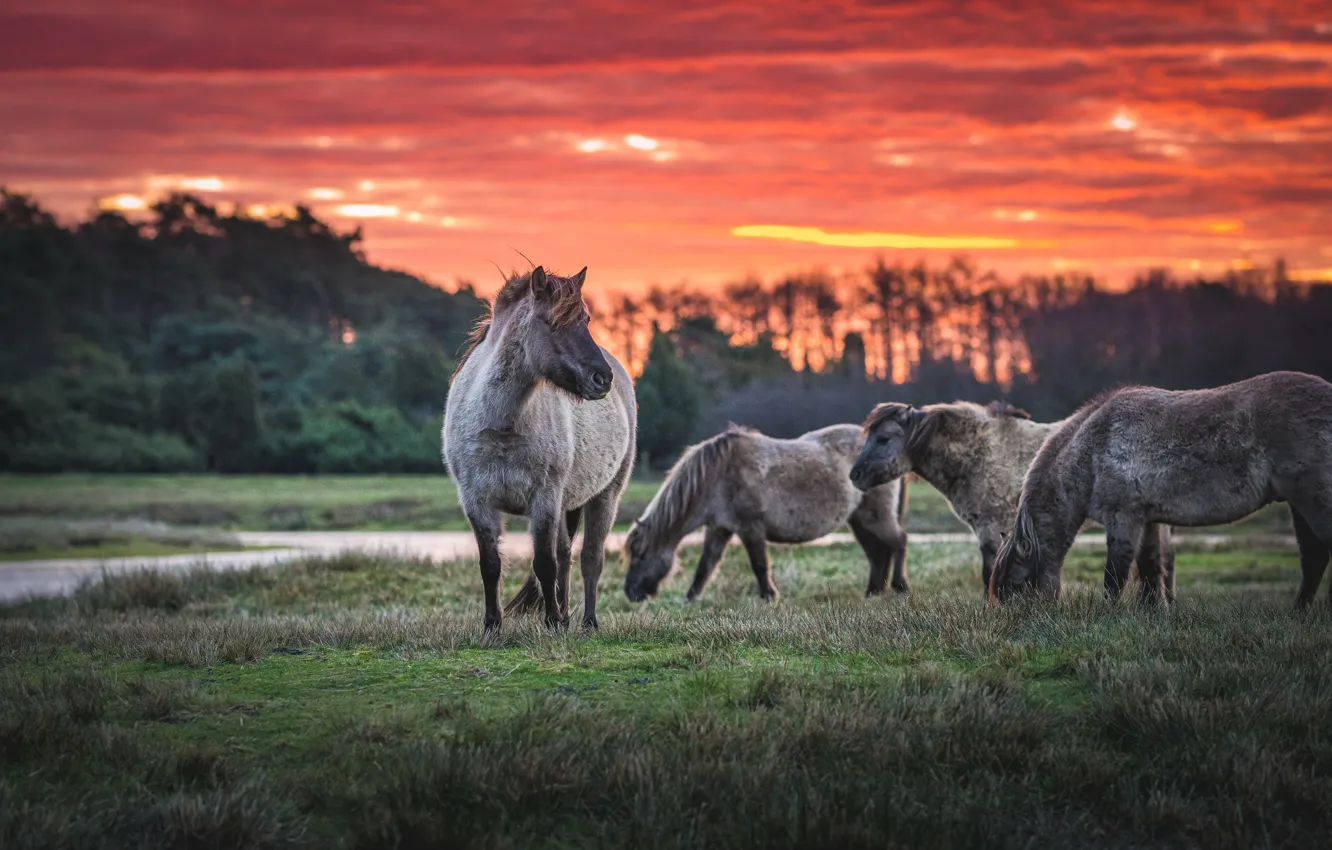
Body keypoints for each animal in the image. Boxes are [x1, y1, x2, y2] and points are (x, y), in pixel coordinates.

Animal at [443, 266, 636, 632]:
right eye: (552, 322)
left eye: (586, 319)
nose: (602, 379)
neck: (502, 425)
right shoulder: (476, 502)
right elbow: (491, 565)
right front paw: (493, 626)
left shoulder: (543, 499)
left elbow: (544, 563)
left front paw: (551, 622)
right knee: (566, 554)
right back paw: (566, 615)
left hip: (606, 496)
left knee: (590, 558)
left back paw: (587, 623)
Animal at [623, 424, 908, 603]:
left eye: (641, 554)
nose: (631, 594)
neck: (718, 475)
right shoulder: (719, 529)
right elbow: (706, 565)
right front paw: (691, 597)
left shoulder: (751, 529)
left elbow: (759, 564)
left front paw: (769, 596)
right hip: (859, 521)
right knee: (877, 554)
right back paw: (874, 592)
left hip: (875, 517)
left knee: (898, 543)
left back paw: (899, 587)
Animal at [989, 371, 1332, 606]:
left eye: (1017, 585)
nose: (1017, 626)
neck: (1093, 447)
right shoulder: (1149, 519)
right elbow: (1152, 569)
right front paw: (1156, 612)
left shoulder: (1124, 518)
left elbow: (1116, 574)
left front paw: (1107, 615)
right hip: (1299, 503)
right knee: (1314, 558)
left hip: (1311, 499)